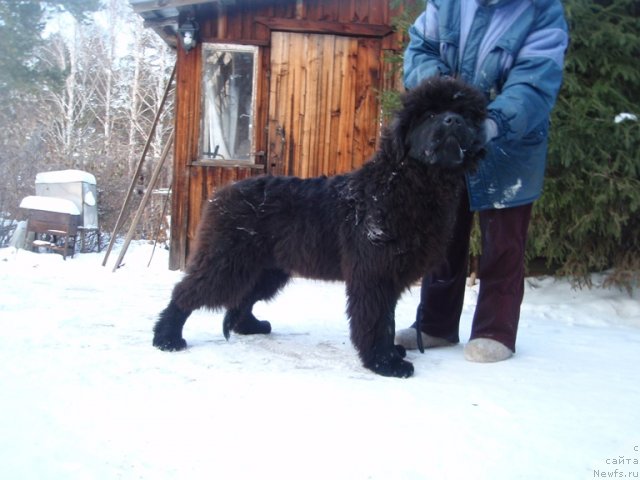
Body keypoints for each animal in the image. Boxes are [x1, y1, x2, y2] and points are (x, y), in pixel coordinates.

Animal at [154, 77, 484, 376]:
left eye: (464, 114)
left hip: (267, 268)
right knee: (188, 292)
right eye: (430, 114)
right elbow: (377, 320)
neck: (407, 184)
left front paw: (391, 353)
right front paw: (385, 363)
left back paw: (249, 326)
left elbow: (387, 319)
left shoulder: (390, 273)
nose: (453, 120)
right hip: (228, 261)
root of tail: (221, 194)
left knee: (242, 298)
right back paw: (166, 337)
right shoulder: (374, 273)